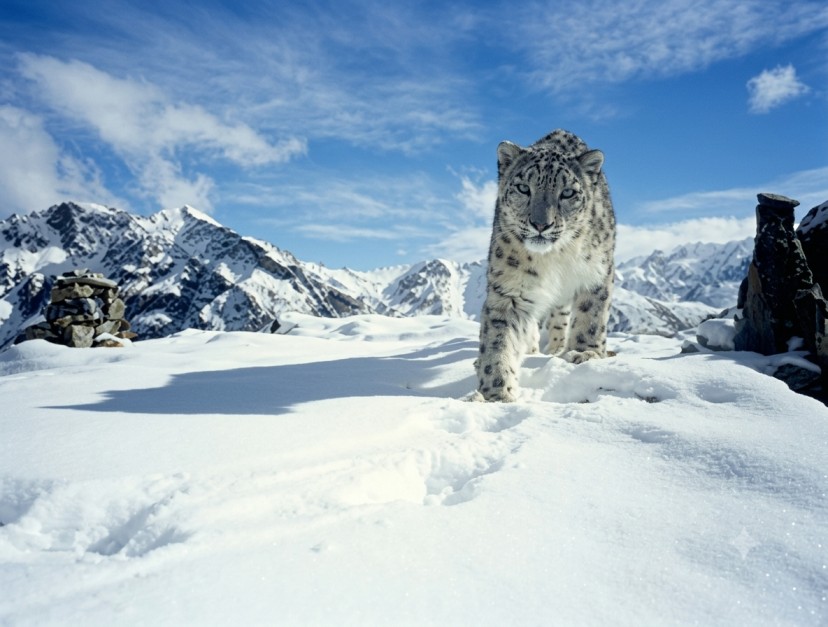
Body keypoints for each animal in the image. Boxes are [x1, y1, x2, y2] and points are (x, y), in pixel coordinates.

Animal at [471, 129, 616, 402]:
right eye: (523, 188)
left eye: (568, 193)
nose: (541, 224)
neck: (555, 257)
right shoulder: (508, 288)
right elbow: (499, 338)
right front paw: (497, 391)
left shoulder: (596, 274)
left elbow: (591, 318)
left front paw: (584, 353)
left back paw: (559, 347)